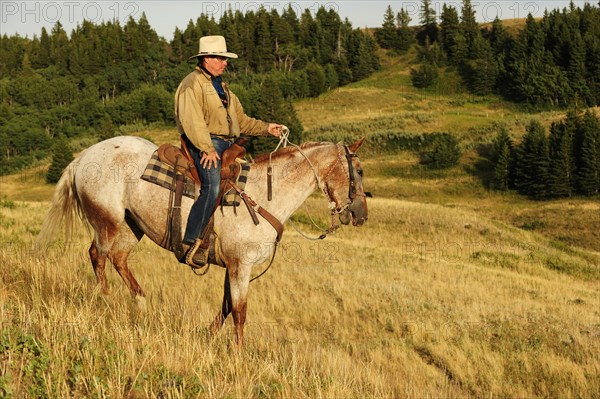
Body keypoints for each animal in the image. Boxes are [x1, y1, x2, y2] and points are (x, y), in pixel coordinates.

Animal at [37, 137, 368, 346]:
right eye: (360, 171)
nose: (361, 214)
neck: (264, 196)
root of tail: (84, 156)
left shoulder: (231, 266)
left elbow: (226, 306)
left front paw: (208, 336)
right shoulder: (241, 266)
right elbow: (240, 311)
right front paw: (239, 353)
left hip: (132, 226)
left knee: (118, 259)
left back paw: (141, 304)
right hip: (107, 221)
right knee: (98, 255)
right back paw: (105, 299)